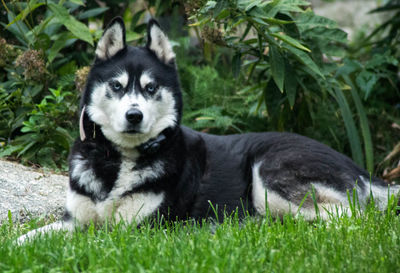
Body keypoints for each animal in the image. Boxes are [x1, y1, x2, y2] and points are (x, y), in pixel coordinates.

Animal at [18, 18, 400, 241]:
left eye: (151, 88)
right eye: (116, 86)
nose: (134, 115)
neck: (118, 160)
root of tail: (361, 169)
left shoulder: (137, 231)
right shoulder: (73, 220)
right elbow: (27, 237)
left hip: (269, 174)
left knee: (350, 217)